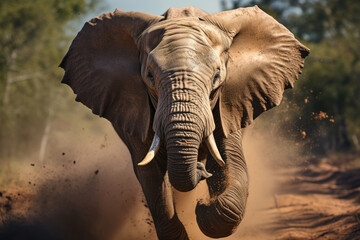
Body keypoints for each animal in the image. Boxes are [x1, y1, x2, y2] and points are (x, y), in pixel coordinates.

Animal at [59, 5, 310, 240]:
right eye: (149, 76)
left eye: (217, 76)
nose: (199, 169)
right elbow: (151, 177)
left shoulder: (229, 103)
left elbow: (230, 160)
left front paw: (205, 207)